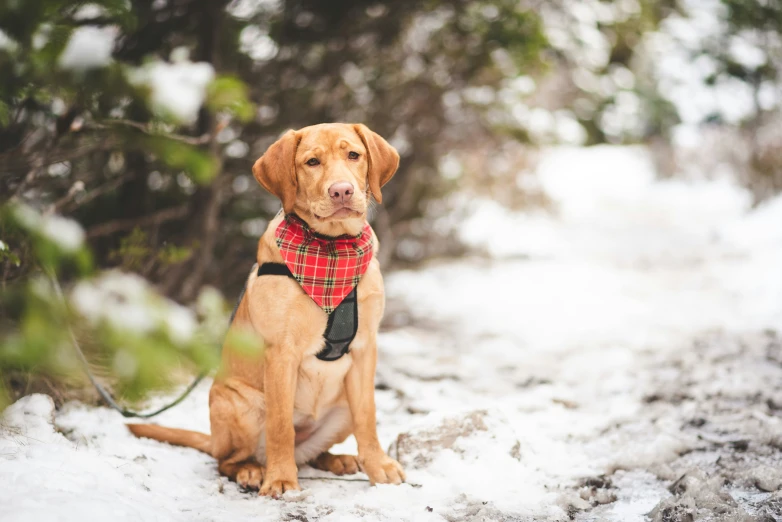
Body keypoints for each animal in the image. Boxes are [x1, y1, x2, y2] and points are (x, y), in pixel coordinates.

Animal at [127, 123, 410, 496]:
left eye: (354, 155)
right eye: (312, 162)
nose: (342, 191)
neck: (332, 249)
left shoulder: (365, 349)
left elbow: (368, 415)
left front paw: (378, 466)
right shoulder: (281, 353)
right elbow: (280, 425)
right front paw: (280, 480)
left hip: (340, 410)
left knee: (311, 452)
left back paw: (338, 460)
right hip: (238, 403)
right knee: (228, 459)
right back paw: (251, 470)